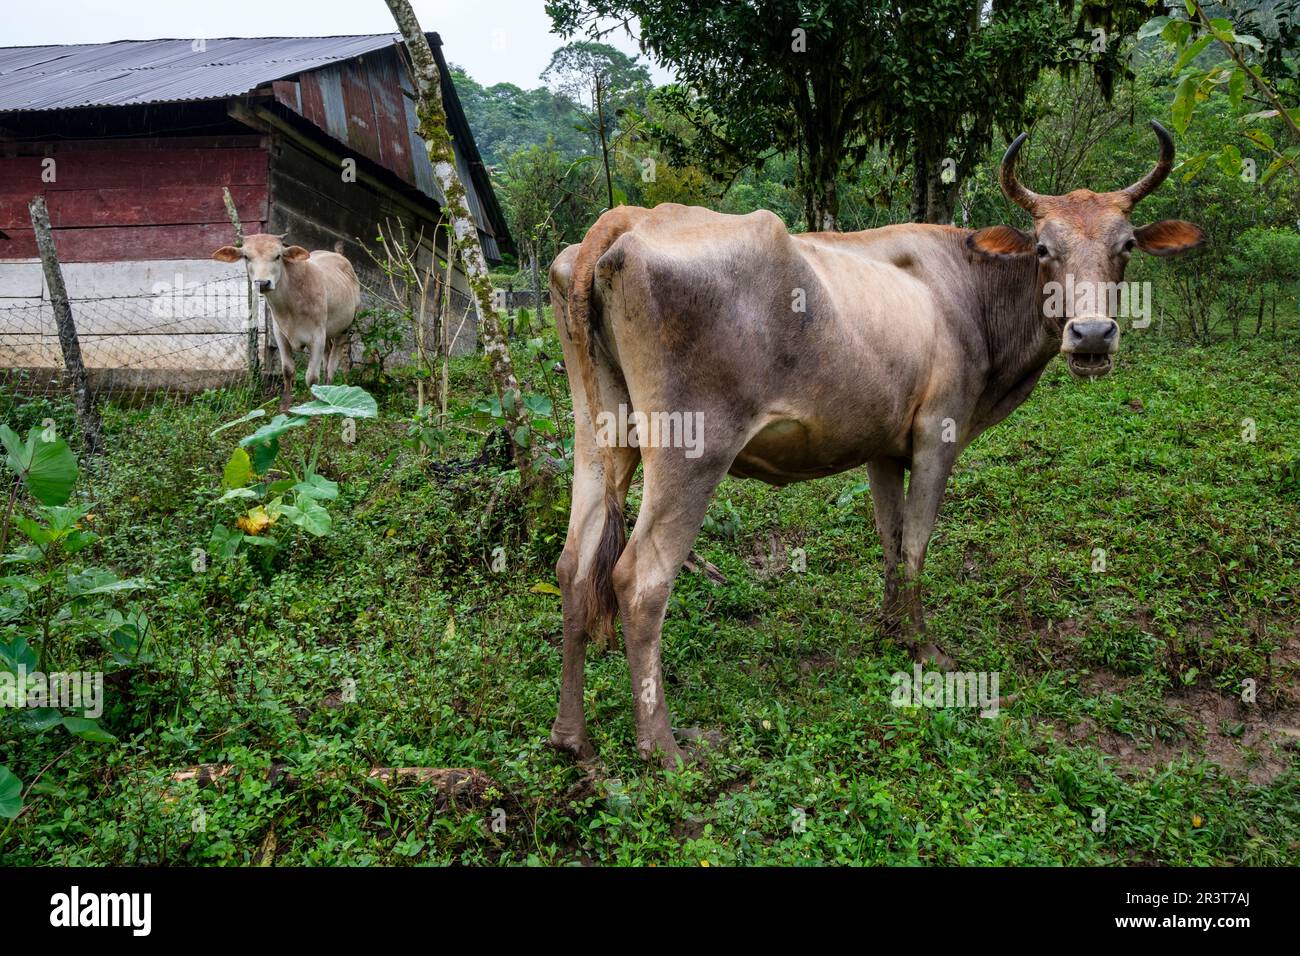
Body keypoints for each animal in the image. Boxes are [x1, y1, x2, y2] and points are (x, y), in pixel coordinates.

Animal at [548, 121, 1206, 770]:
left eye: (1126, 246)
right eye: (1044, 248)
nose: (1091, 334)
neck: (969, 292)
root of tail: (630, 218)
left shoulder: (884, 448)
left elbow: (890, 538)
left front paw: (889, 630)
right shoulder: (938, 433)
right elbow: (915, 542)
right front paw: (923, 648)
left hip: (596, 437)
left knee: (575, 566)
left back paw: (572, 737)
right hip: (693, 448)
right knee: (640, 580)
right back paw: (663, 748)